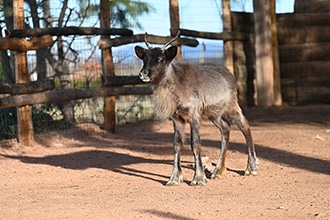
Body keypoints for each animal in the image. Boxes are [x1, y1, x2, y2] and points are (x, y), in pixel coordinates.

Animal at [134, 33, 258, 186]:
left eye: (160, 59)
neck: (174, 91)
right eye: (144, 59)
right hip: (214, 113)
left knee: (245, 125)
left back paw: (251, 168)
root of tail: (231, 76)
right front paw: (174, 178)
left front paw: (198, 178)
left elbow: (195, 144)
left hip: (231, 106)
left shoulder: (194, 115)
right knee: (226, 128)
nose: (143, 73)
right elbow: (177, 145)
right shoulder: (176, 119)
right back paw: (218, 171)